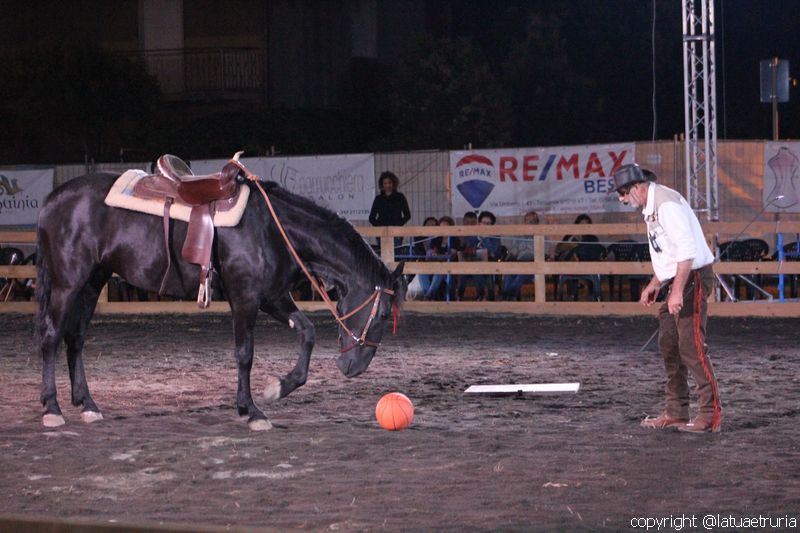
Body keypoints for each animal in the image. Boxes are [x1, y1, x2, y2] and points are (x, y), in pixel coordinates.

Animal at [35, 170, 406, 430]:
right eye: (383, 314)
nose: (353, 368)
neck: (273, 229)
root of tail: (53, 199)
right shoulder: (245, 298)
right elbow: (245, 354)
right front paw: (251, 410)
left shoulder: (272, 297)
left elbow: (307, 332)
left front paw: (279, 387)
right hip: (68, 282)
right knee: (52, 336)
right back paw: (52, 408)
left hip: (92, 281)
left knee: (76, 338)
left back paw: (87, 404)